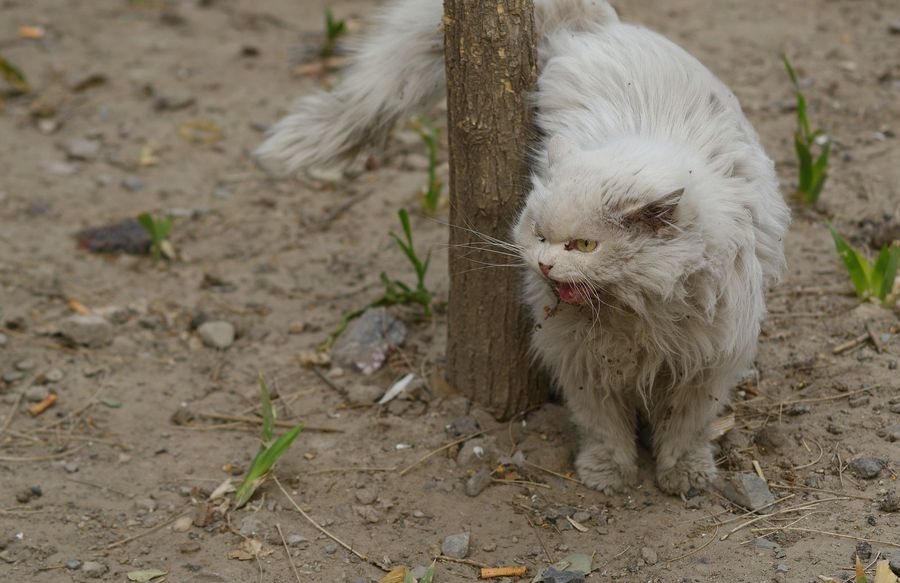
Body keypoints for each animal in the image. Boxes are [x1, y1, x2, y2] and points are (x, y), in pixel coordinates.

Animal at [256, 0, 792, 496]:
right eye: (538, 234)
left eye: (584, 245)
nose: (545, 264)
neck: (636, 314)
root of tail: (599, 26)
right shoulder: (580, 362)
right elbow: (602, 426)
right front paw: (608, 474)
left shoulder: (707, 365)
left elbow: (686, 429)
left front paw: (684, 475)